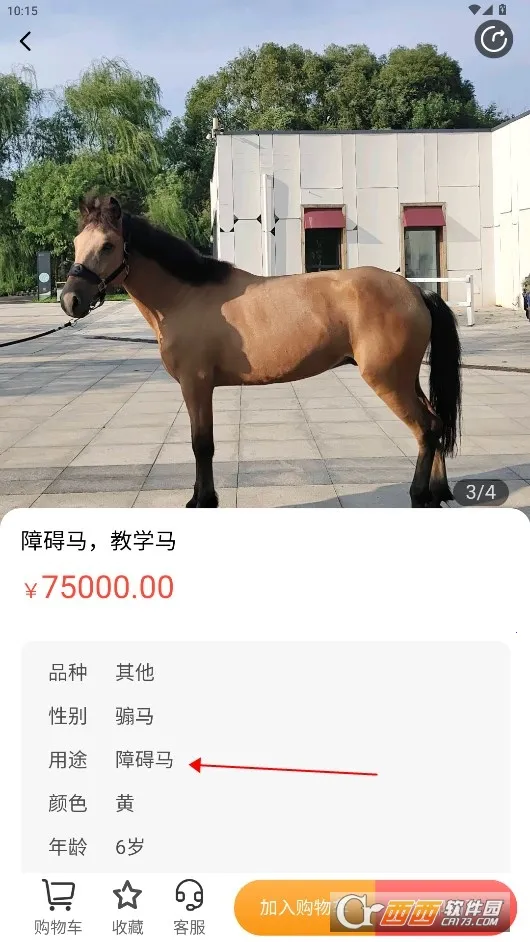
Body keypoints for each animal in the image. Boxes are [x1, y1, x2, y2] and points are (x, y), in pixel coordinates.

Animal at [61, 194, 461, 509]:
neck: (185, 296)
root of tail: (416, 291)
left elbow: (201, 445)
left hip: (388, 379)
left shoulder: (196, 384)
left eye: (108, 245)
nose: (70, 300)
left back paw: (418, 495)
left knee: (425, 428)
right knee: (436, 423)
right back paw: (438, 492)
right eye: (77, 242)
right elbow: (201, 444)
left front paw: (203, 500)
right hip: (406, 378)